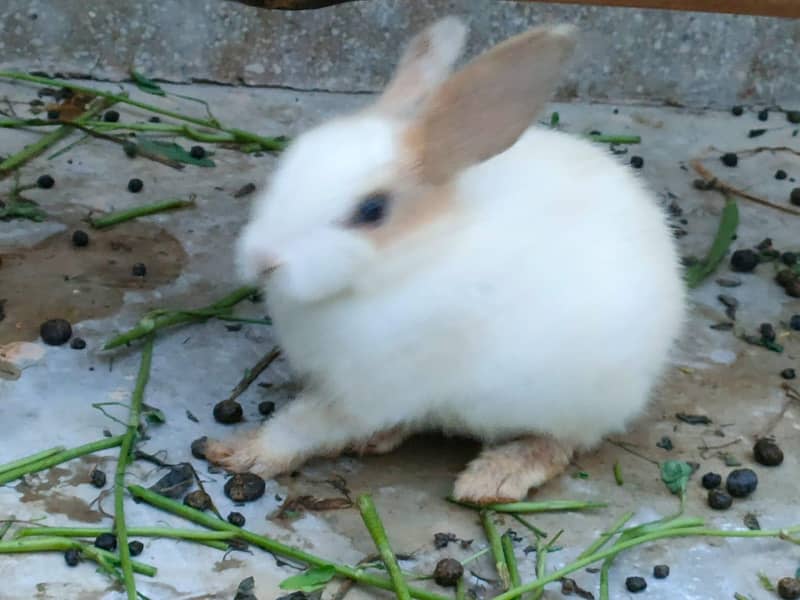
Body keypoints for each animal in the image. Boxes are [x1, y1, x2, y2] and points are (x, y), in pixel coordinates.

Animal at [204, 16, 686, 504]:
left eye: (371, 210)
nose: (263, 259)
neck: (408, 262)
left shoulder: (370, 389)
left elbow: (304, 425)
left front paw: (244, 454)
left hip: (579, 400)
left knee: (558, 443)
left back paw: (492, 478)